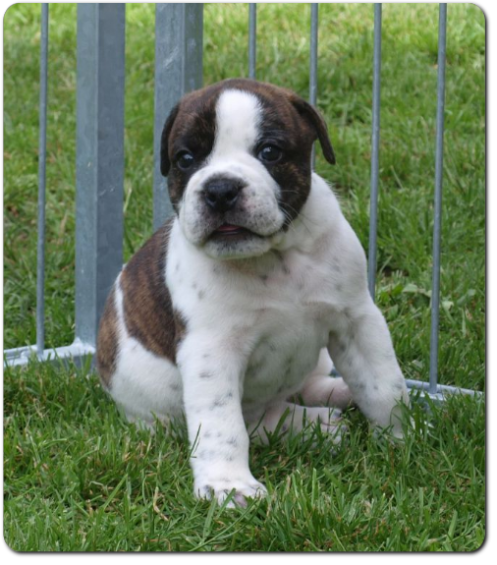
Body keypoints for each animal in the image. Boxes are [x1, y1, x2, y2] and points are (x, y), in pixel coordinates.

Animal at [96, 78, 406, 506]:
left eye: (270, 152)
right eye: (185, 159)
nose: (220, 189)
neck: (275, 256)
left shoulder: (357, 321)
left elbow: (383, 385)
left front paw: (403, 440)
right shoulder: (211, 353)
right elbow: (221, 425)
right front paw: (228, 487)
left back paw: (338, 395)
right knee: (258, 423)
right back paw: (319, 425)